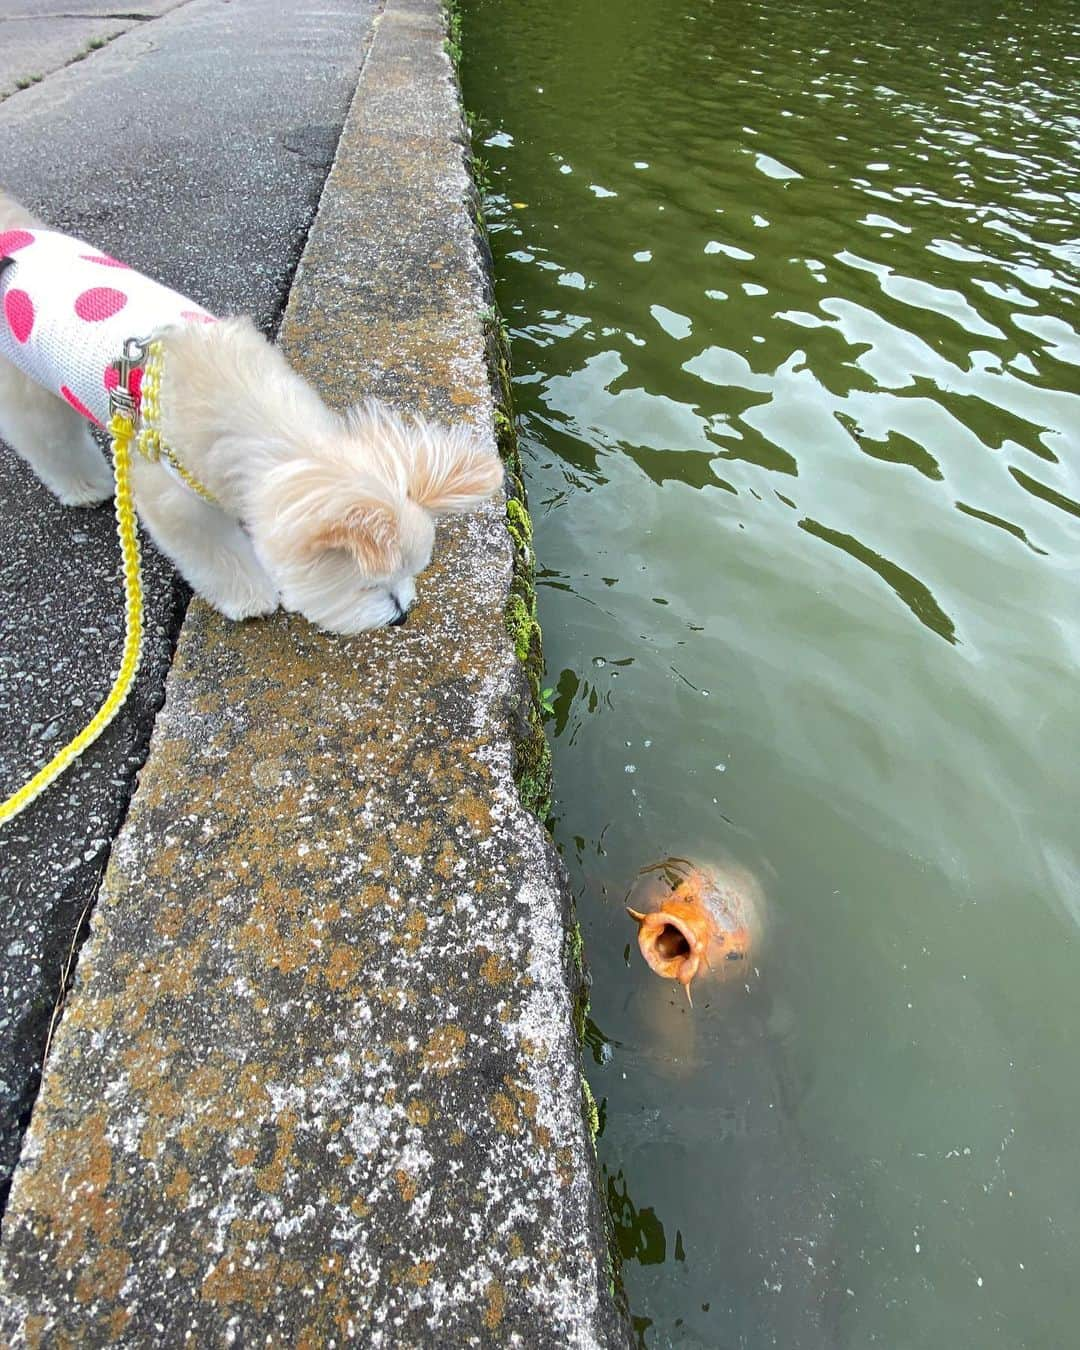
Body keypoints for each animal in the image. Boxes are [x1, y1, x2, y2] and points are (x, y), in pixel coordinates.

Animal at [0, 190, 507, 631]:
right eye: (369, 586)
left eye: (413, 572)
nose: (402, 616)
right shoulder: (169, 493)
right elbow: (212, 552)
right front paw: (251, 596)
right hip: (25, 383)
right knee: (46, 436)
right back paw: (86, 486)